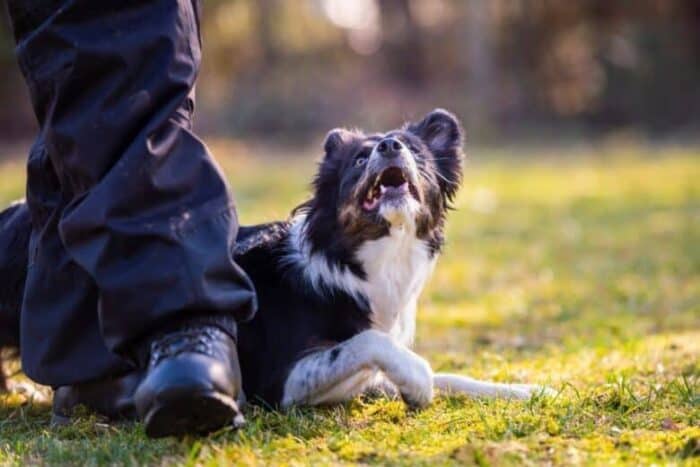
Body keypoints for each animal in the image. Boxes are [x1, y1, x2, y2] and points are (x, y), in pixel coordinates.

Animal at [0, 109, 548, 410]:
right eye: (358, 160)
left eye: (414, 150)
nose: (392, 146)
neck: (363, 263)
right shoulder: (283, 380)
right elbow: (371, 343)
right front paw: (417, 381)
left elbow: (453, 375)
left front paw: (526, 390)